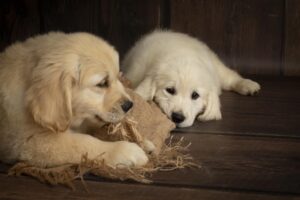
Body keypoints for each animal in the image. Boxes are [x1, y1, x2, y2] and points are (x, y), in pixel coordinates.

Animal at [0, 32, 149, 167]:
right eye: (102, 83)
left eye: (118, 77)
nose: (130, 105)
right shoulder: (33, 141)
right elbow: (84, 142)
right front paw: (125, 150)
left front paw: (144, 142)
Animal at [123, 30, 262, 127]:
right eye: (170, 90)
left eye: (195, 95)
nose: (178, 118)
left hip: (216, 66)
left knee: (230, 77)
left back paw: (248, 85)